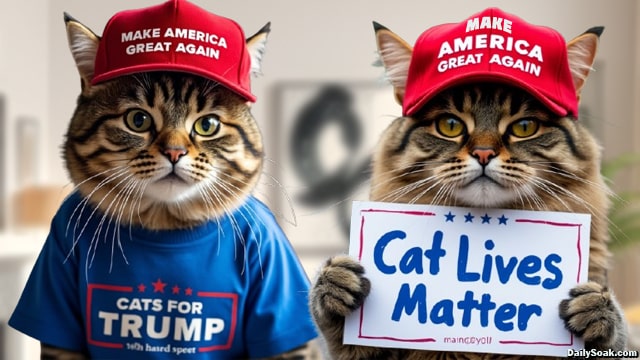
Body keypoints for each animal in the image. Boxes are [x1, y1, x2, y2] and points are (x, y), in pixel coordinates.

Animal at [312, 8, 628, 360]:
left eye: (524, 127)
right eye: (450, 125)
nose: (484, 153)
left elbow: (613, 334)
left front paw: (596, 310)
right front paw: (335, 282)